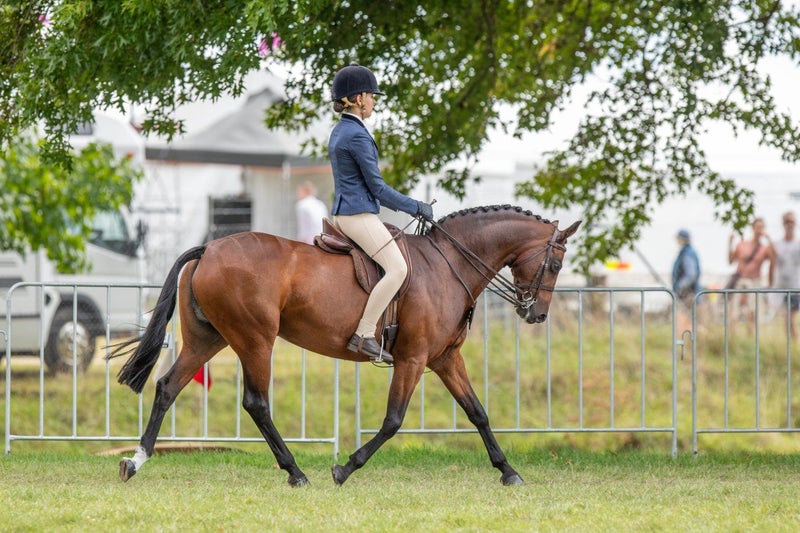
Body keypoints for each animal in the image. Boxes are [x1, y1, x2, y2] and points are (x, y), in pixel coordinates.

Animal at [111, 204, 580, 486]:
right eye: (556, 263)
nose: (537, 315)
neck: (446, 266)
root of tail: (210, 248)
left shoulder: (445, 359)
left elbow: (478, 413)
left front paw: (508, 471)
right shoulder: (411, 359)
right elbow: (393, 420)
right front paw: (344, 468)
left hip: (210, 338)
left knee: (167, 387)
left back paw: (135, 461)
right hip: (255, 340)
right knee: (256, 403)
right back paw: (296, 472)